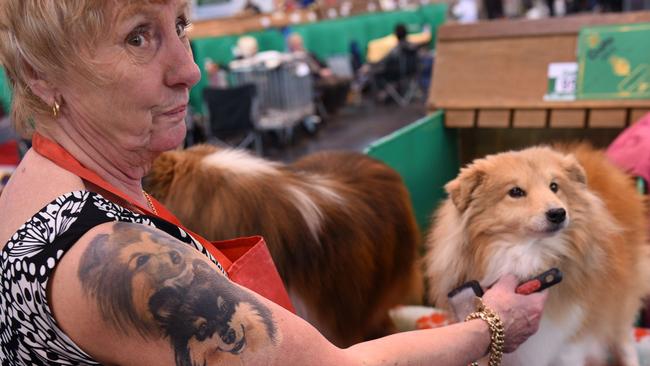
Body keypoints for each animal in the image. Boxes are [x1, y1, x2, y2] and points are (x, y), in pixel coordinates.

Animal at [422, 144, 644, 364]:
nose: (558, 213)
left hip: (621, 302)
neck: (529, 253)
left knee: (624, 339)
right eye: (515, 191)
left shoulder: (570, 343)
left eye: (554, 186)